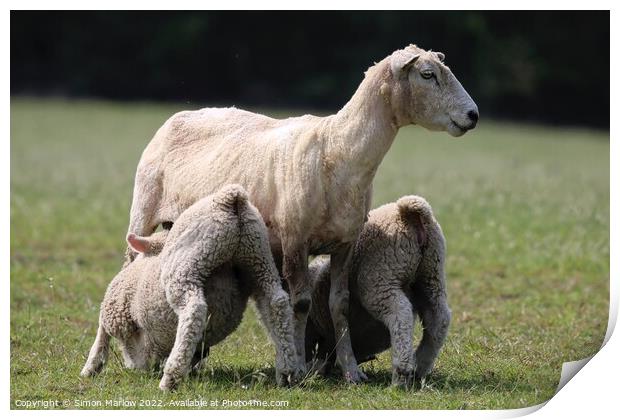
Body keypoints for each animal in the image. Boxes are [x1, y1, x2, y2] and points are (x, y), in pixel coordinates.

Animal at [81, 184, 300, 390]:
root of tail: (230, 198)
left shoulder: (116, 306)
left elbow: (103, 330)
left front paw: (91, 366)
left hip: (187, 265)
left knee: (194, 309)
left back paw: (171, 376)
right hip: (258, 257)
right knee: (276, 303)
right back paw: (287, 371)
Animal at [306, 195, 450, 388]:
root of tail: (410, 214)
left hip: (381, 279)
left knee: (401, 314)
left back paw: (401, 374)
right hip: (431, 275)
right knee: (439, 319)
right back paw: (420, 367)